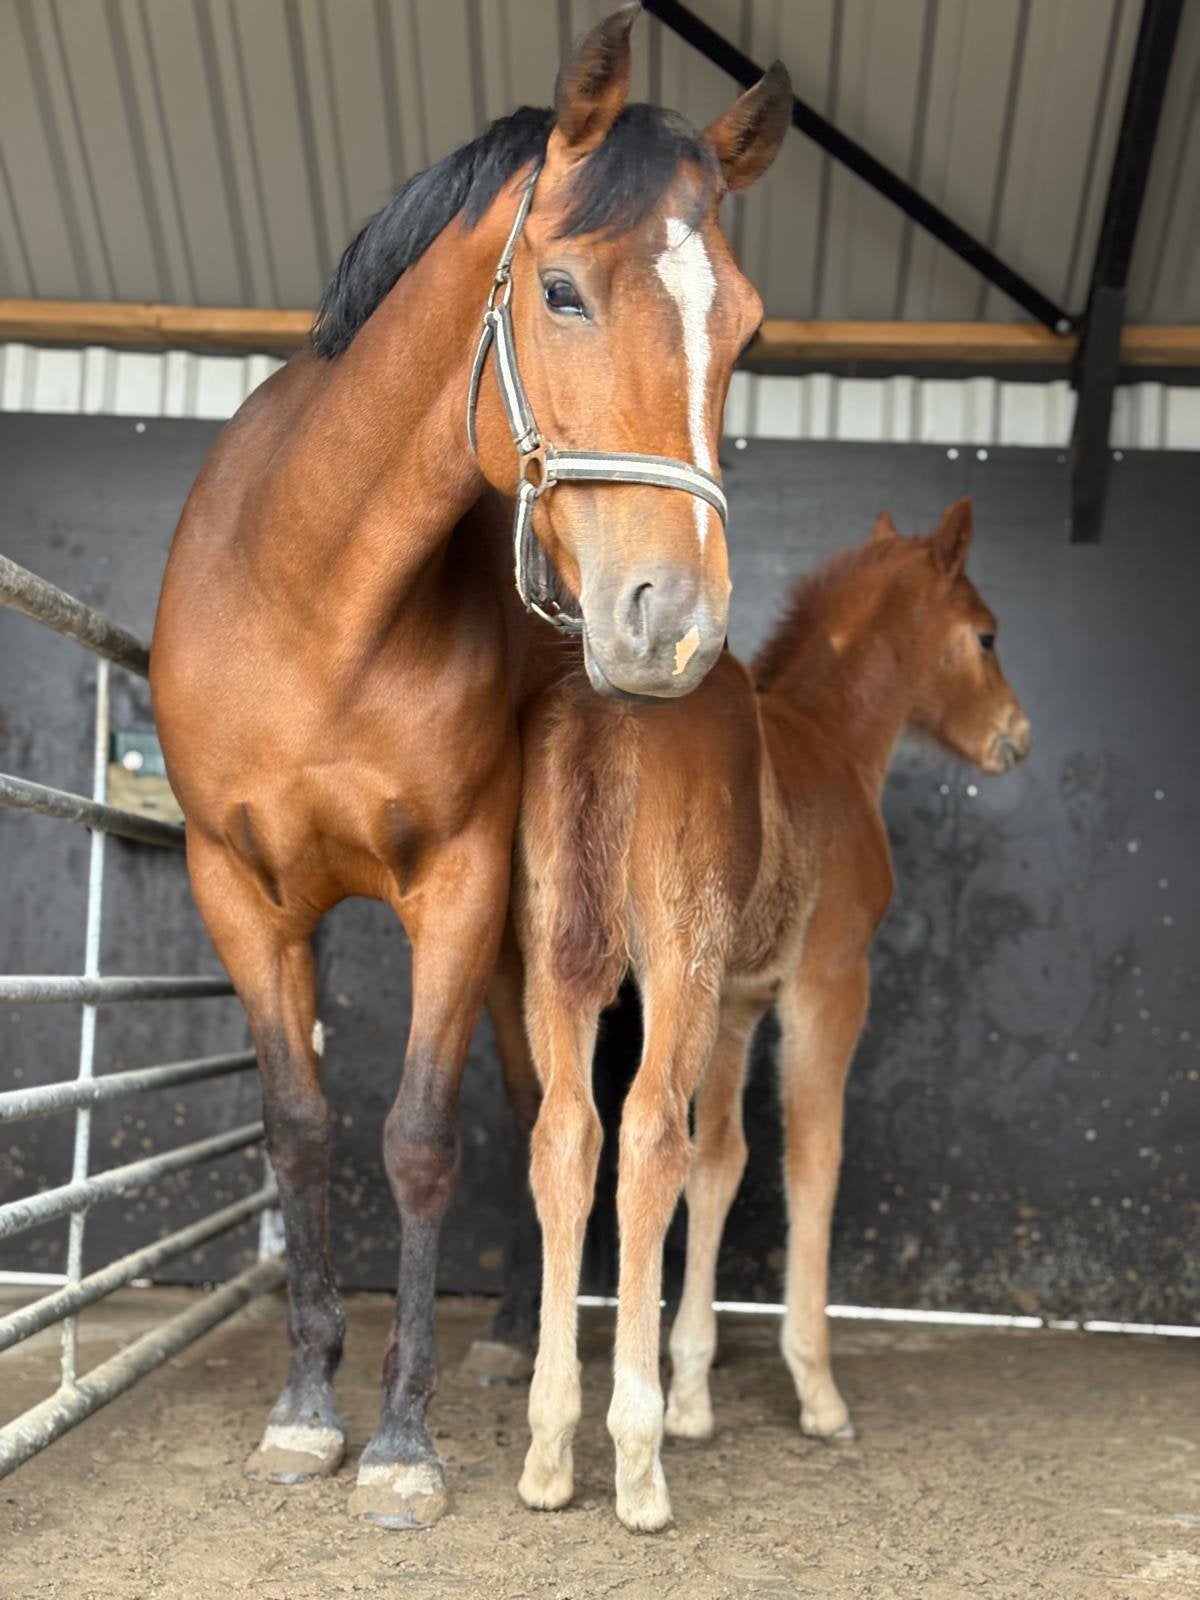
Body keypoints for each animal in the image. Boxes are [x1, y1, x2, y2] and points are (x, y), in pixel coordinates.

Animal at [150, 3, 791, 1529]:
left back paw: (511, 1344)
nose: (673, 622)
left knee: (531, 1106)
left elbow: (421, 1138)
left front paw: (400, 1437)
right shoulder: (236, 892)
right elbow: (300, 1130)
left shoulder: (456, 885)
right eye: (560, 291)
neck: (311, 600)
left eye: (744, 325)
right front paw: (305, 1407)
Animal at [513, 497, 1032, 1530]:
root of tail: (602, 702)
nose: (1017, 734)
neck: (833, 740)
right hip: (676, 964)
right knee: (645, 1136)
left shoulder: (739, 1006)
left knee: (569, 1137)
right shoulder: (829, 984)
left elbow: (723, 1162)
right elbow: (811, 1160)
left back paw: (550, 1448)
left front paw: (694, 1398)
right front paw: (817, 1392)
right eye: (987, 635)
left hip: (558, 962)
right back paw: (635, 1467)